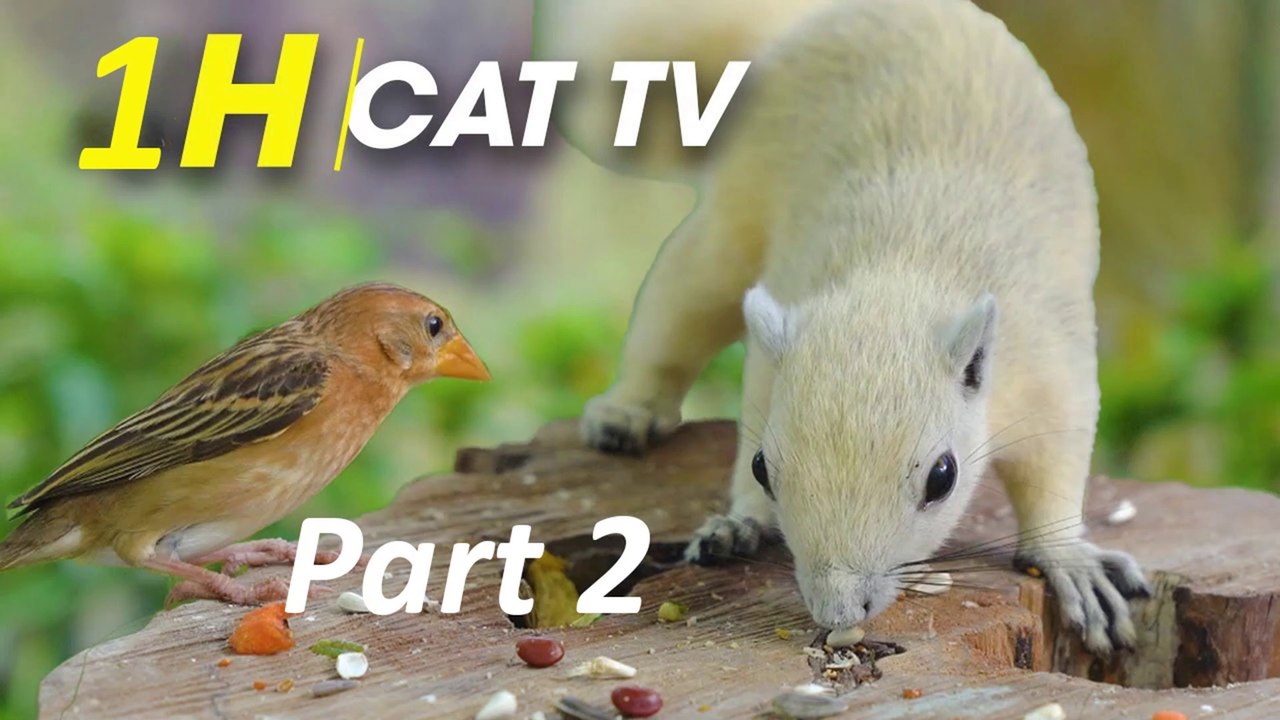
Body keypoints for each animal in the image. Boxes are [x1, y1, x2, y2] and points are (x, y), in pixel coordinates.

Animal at [574, 0, 1151, 654]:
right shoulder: (775, 348)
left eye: (943, 477)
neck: (898, 278)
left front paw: (1068, 560)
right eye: (763, 467)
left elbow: (1055, 464)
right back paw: (627, 414)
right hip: (731, 222)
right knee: (679, 306)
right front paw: (742, 518)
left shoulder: (1049, 368)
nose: (838, 610)